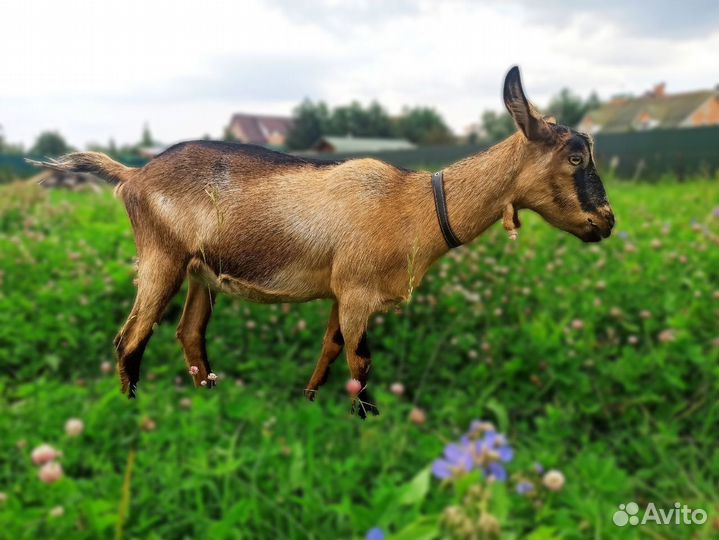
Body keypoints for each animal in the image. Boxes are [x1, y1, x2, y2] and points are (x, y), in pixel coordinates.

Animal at [26, 66, 612, 418]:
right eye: (575, 156)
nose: (606, 222)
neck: (416, 206)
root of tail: (132, 175)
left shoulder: (342, 291)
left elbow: (332, 349)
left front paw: (309, 401)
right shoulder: (356, 293)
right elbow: (360, 361)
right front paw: (366, 421)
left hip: (199, 272)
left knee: (189, 333)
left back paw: (210, 398)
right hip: (161, 258)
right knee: (130, 338)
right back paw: (133, 412)